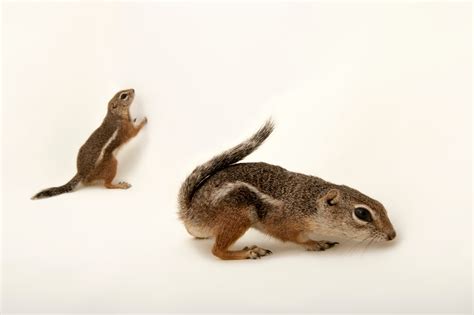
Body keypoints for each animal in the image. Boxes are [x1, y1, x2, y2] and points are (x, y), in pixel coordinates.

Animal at [178, 119, 396, 260]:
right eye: (362, 213)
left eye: (382, 206)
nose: (392, 235)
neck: (309, 202)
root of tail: (189, 212)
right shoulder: (283, 224)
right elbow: (295, 238)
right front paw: (316, 243)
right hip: (237, 216)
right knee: (217, 251)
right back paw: (250, 252)